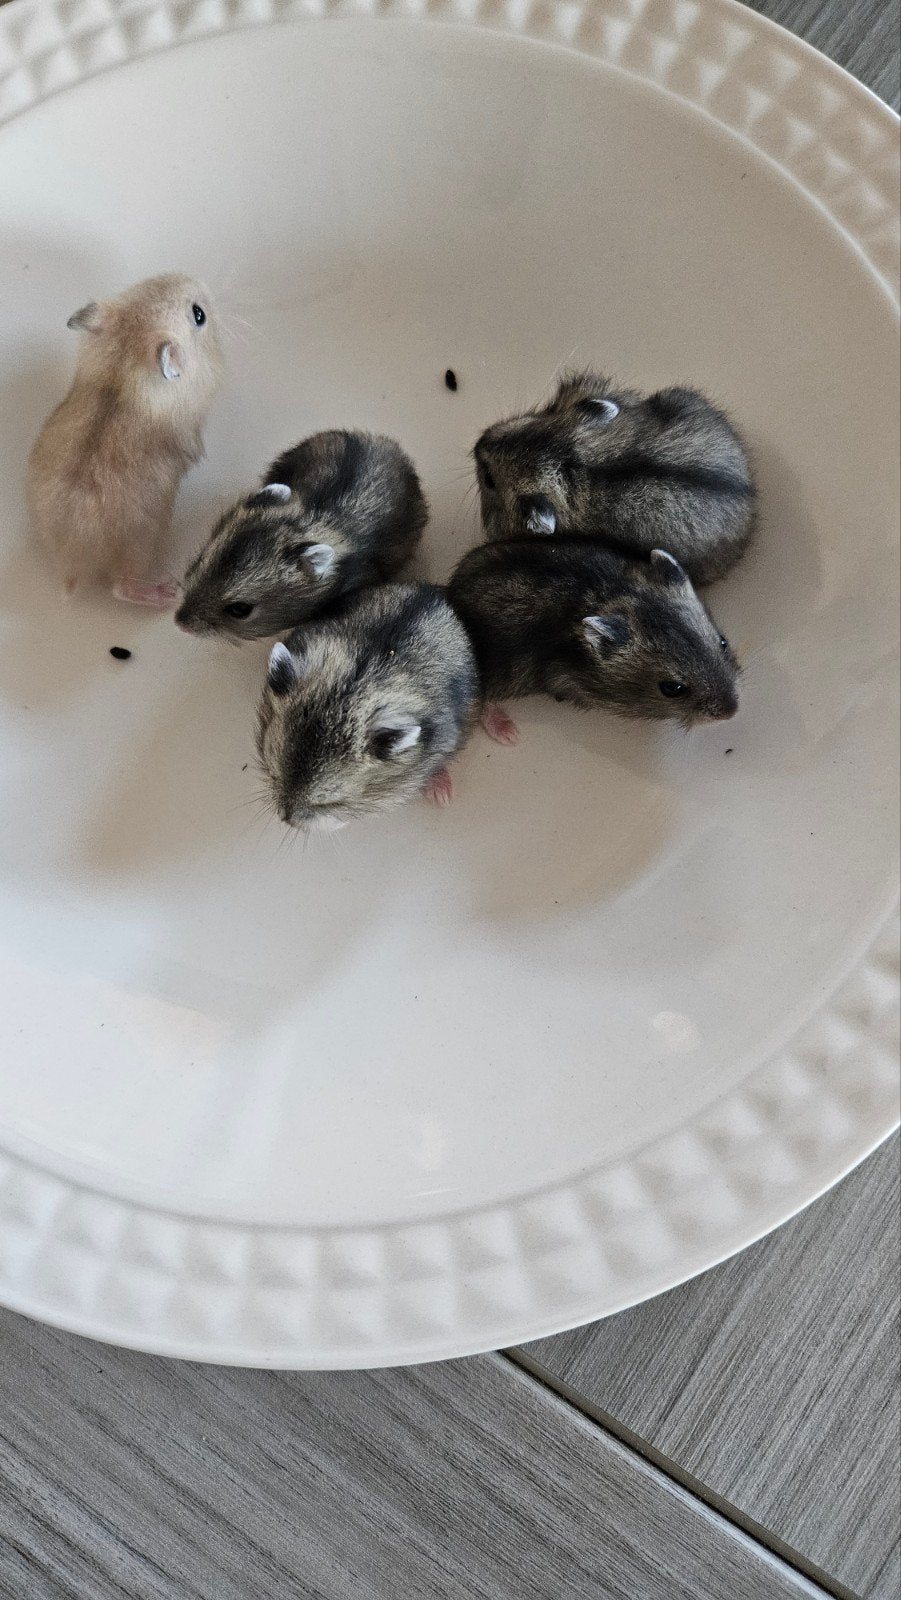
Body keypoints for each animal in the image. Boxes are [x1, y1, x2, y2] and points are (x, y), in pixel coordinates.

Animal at [27, 273, 223, 607]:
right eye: (199, 315)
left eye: (146, 282)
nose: (201, 282)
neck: (124, 361)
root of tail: (74, 564)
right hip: (141, 547)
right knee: (122, 589)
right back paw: (168, 593)